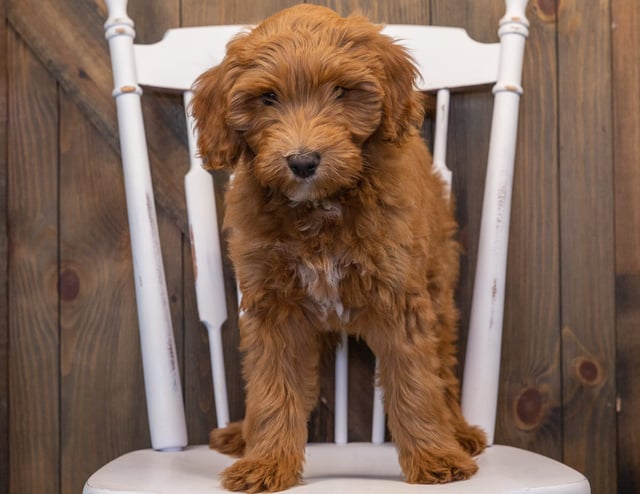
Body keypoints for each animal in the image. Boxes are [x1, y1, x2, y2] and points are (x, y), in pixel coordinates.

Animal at [190, 2, 484, 490]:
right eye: (267, 98)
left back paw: (458, 431)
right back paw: (242, 434)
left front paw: (435, 456)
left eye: (342, 91)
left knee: (443, 364)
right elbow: (273, 388)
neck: (320, 207)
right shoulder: (273, 308)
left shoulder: (400, 296)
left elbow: (416, 382)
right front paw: (266, 462)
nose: (302, 161)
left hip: (438, 282)